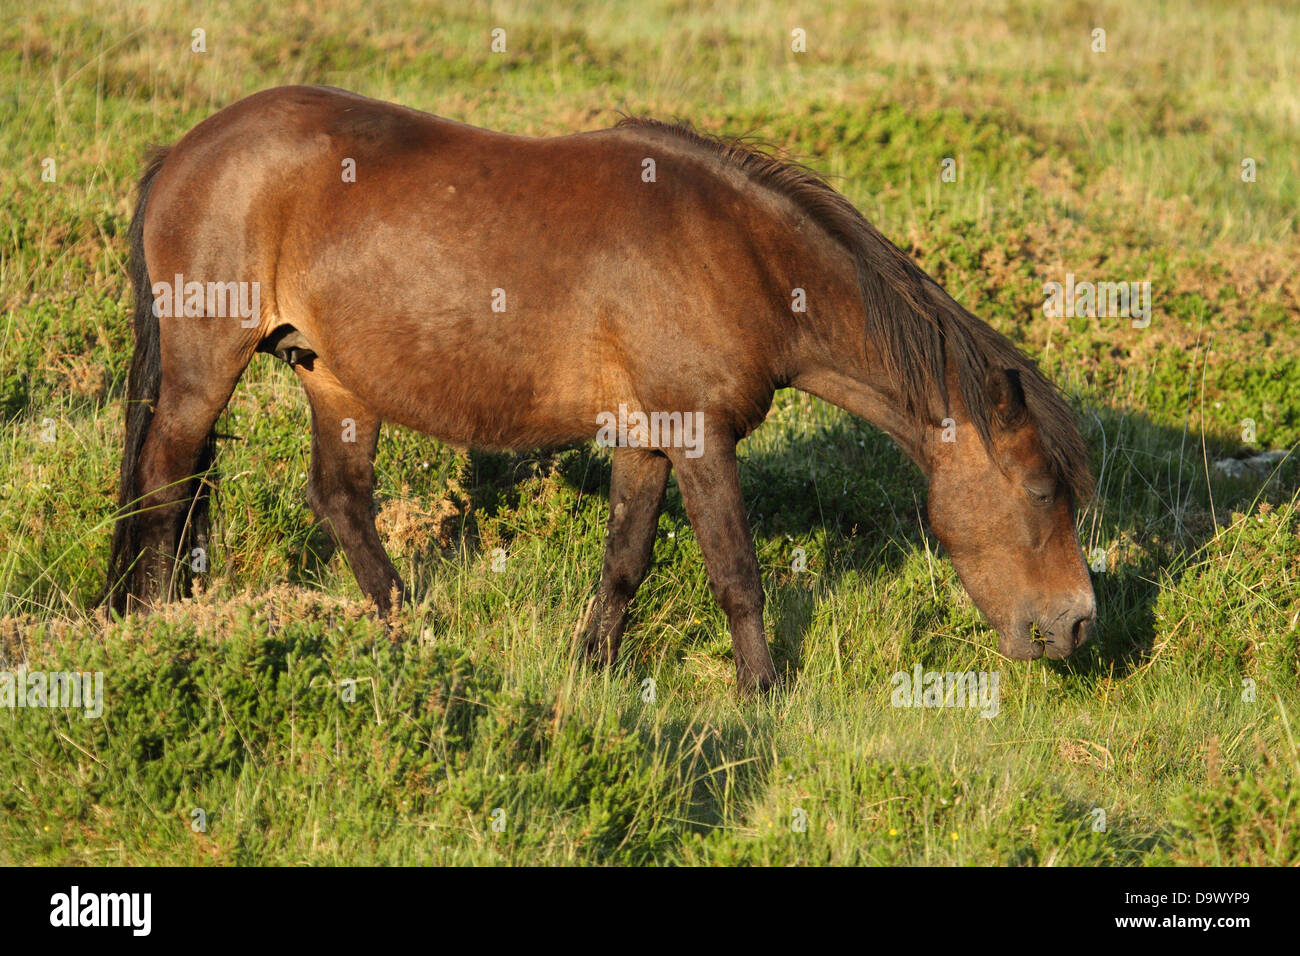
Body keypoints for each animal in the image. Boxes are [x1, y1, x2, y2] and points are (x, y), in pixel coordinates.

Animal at [104, 85, 1096, 693]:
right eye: (1042, 493)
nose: (1078, 627)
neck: (742, 255)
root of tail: (186, 150)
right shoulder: (699, 436)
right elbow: (736, 572)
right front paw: (764, 694)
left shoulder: (646, 438)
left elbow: (626, 559)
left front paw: (592, 667)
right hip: (205, 367)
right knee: (165, 486)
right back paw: (153, 625)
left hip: (335, 381)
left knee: (338, 501)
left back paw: (412, 631)